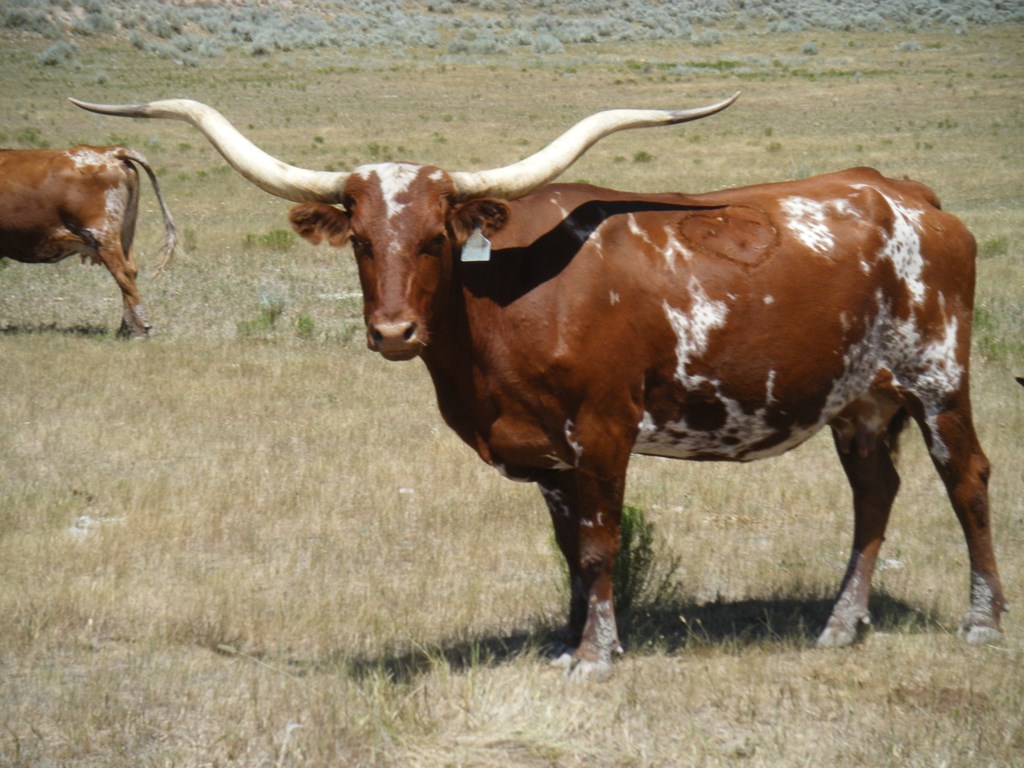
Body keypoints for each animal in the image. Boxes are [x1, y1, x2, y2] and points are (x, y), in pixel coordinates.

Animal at [0, 146, 177, 337]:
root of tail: (110, 151)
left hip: (104, 236)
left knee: (123, 274)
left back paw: (140, 328)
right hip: (125, 233)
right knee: (131, 272)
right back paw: (126, 327)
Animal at [71, 95, 1007, 679]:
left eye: (436, 239)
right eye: (363, 241)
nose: (393, 333)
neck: (501, 302)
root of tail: (908, 194)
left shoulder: (603, 430)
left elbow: (599, 546)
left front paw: (596, 657)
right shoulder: (549, 450)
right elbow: (567, 551)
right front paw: (571, 639)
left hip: (936, 378)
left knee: (966, 481)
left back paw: (983, 622)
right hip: (861, 400)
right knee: (874, 493)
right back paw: (840, 626)